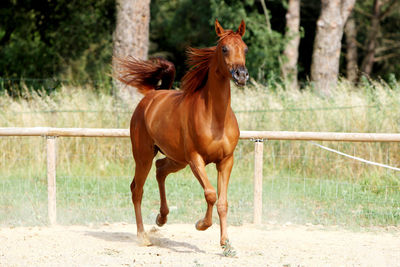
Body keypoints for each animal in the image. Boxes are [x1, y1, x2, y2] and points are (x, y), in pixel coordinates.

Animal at [116, 19, 247, 256]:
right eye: (224, 49)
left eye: (245, 48)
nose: (241, 75)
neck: (215, 117)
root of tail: (151, 96)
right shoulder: (196, 160)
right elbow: (211, 194)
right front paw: (201, 225)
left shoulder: (226, 161)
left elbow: (223, 202)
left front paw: (226, 244)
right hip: (143, 155)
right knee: (136, 189)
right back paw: (143, 237)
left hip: (176, 159)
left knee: (160, 169)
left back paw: (161, 218)